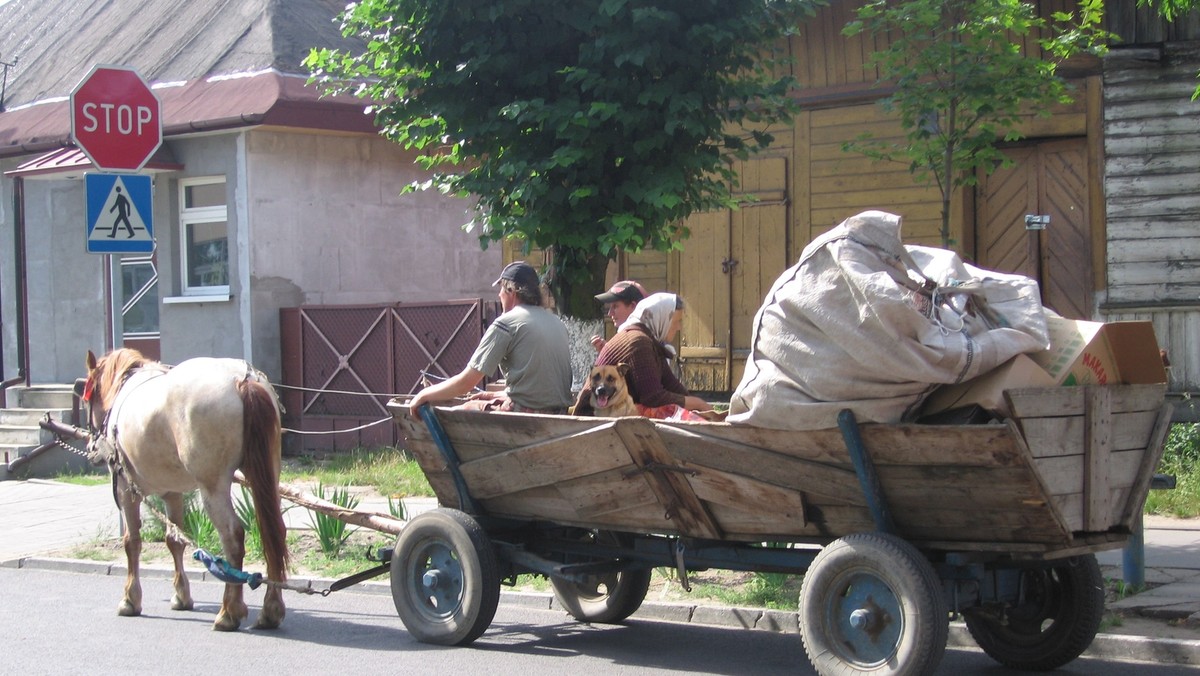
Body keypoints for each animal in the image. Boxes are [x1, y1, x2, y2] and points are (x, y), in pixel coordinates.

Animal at [83, 348, 289, 633]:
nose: (91, 448)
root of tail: (242, 379)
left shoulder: (126, 490)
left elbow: (132, 542)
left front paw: (130, 599)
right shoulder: (173, 492)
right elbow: (174, 540)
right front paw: (181, 596)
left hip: (213, 486)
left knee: (233, 537)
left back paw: (229, 612)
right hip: (267, 475)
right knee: (274, 532)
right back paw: (270, 610)